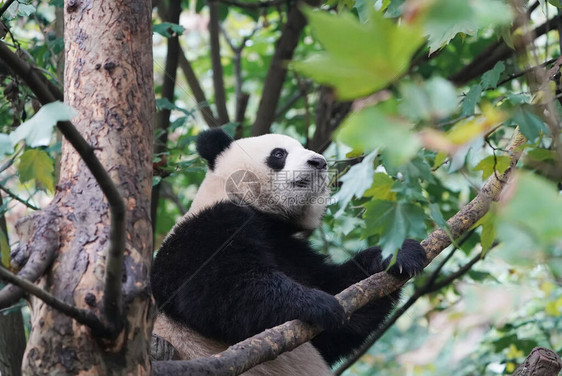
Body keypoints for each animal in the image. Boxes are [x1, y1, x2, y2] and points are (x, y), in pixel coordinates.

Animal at [150, 129, 424, 374]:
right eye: (279, 153)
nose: (319, 162)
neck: (264, 217)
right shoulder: (206, 228)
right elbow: (216, 289)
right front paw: (319, 304)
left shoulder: (288, 249)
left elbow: (343, 306)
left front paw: (399, 255)